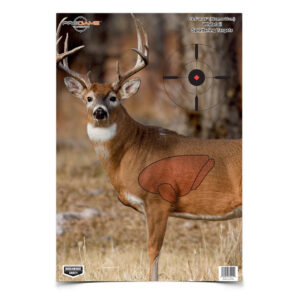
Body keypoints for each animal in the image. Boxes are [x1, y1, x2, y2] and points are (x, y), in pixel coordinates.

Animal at [57, 14, 243, 282]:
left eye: (113, 97)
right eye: (88, 98)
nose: (99, 112)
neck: (132, 152)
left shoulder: (158, 199)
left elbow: (153, 251)